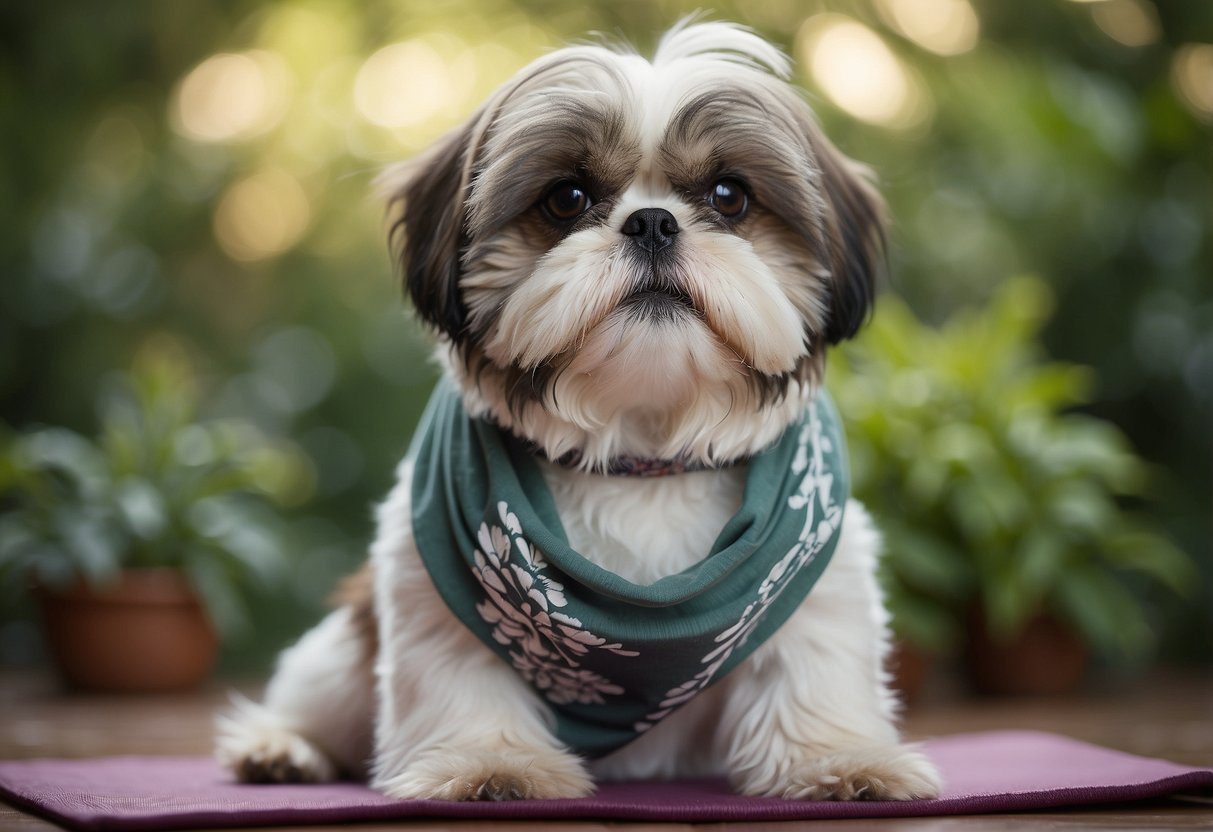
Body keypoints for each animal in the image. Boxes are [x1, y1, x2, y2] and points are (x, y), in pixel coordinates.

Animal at [215, 17, 936, 800]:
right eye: (565, 197)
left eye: (728, 195)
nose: (651, 222)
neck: (641, 453)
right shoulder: (432, 590)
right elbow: (463, 678)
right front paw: (489, 763)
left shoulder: (818, 577)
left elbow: (813, 667)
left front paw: (839, 759)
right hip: (340, 655)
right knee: (314, 704)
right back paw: (283, 747)